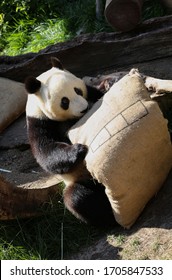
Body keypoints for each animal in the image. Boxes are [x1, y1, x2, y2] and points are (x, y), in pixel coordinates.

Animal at [24, 57, 115, 228]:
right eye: (64, 101)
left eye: (77, 90)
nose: (84, 109)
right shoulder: (39, 122)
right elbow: (46, 152)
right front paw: (79, 149)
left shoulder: (90, 92)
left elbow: (97, 92)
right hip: (80, 179)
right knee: (78, 198)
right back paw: (108, 217)